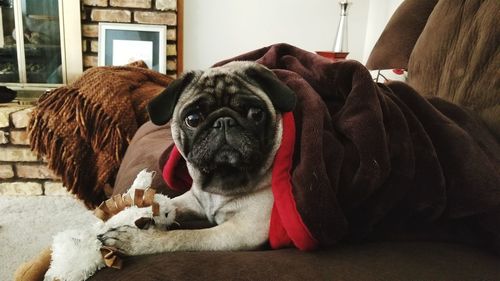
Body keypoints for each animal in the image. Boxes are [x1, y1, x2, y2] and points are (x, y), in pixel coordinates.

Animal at [99, 61, 294, 254]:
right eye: (192, 119)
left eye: (256, 113)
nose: (224, 121)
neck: (220, 184)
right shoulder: (193, 200)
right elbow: (168, 203)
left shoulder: (242, 231)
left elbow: (184, 237)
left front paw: (139, 241)